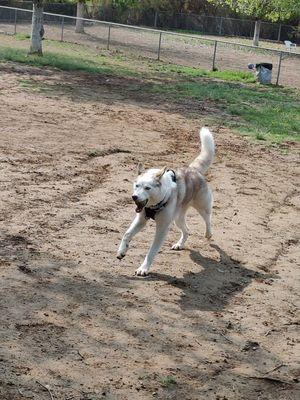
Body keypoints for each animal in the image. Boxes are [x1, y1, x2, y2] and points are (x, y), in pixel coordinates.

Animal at [116, 127, 214, 276]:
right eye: (137, 185)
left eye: (147, 188)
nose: (134, 197)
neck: (156, 203)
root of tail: (193, 169)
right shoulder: (141, 220)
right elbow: (127, 234)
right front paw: (122, 251)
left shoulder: (162, 228)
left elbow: (152, 250)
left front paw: (143, 268)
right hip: (178, 219)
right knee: (186, 230)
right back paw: (179, 244)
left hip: (202, 206)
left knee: (208, 219)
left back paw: (208, 234)